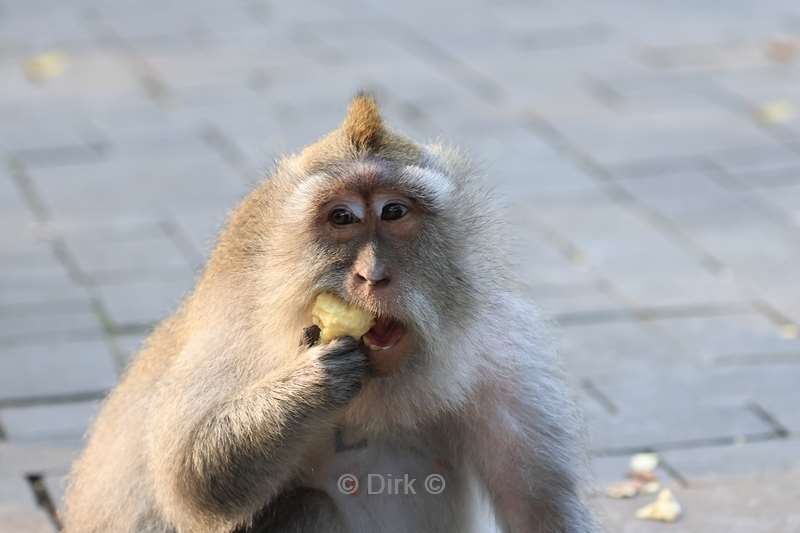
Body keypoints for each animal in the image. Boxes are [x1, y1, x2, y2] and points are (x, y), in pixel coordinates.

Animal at [62, 93, 596, 528]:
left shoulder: (505, 352)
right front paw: (311, 385)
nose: (372, 275)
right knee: (307, 505)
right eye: (342, 217)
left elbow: (538, 509)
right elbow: (193, 479)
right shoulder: (231, 333)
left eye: (394, 212)